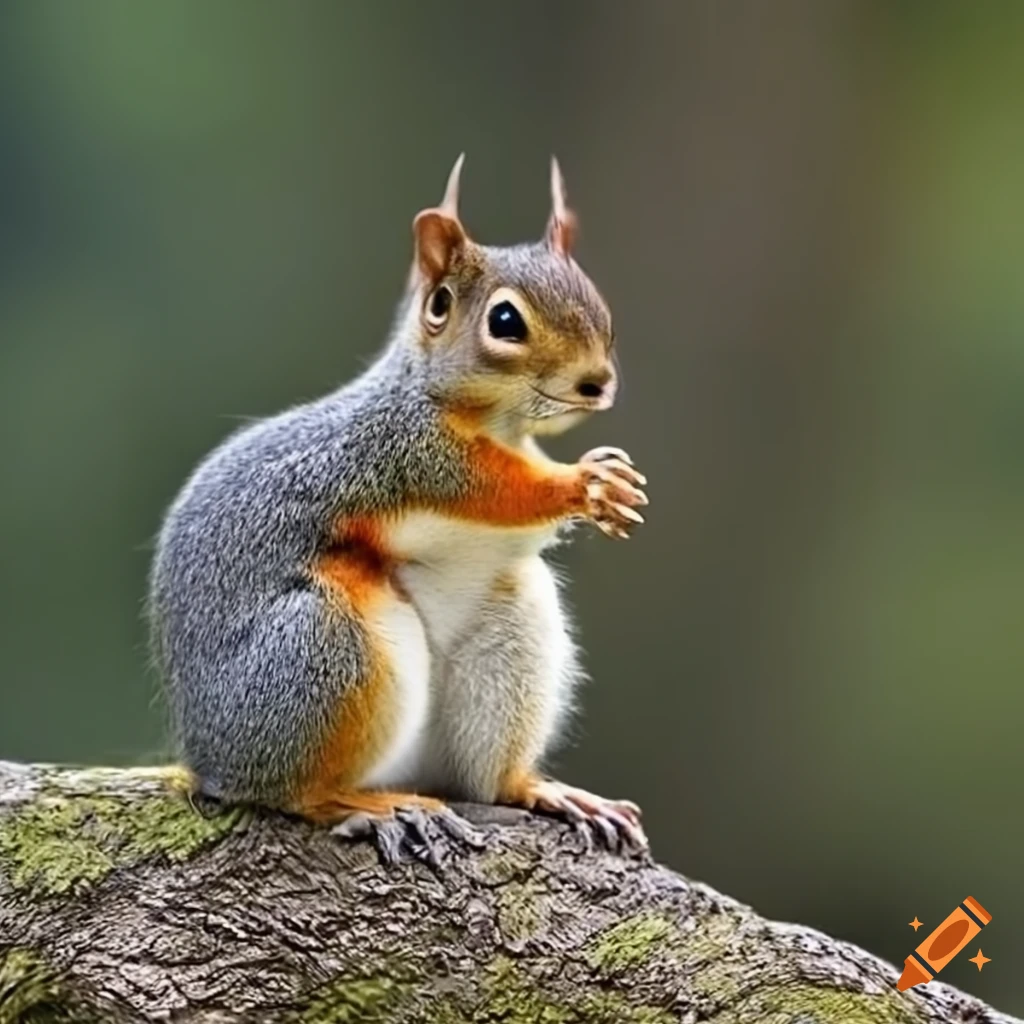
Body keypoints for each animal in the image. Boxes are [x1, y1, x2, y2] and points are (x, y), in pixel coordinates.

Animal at [148, 156, 650, 859]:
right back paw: (370, 805)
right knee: (289, 795)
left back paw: (539, 790)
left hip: (511, 627)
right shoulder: (411, 453)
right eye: (505, 322)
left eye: (597, 301)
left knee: (489, 781)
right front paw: (584, 483)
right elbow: (498, 489)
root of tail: (207, 763)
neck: (494, 421)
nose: (598, 383)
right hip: (319, 646)